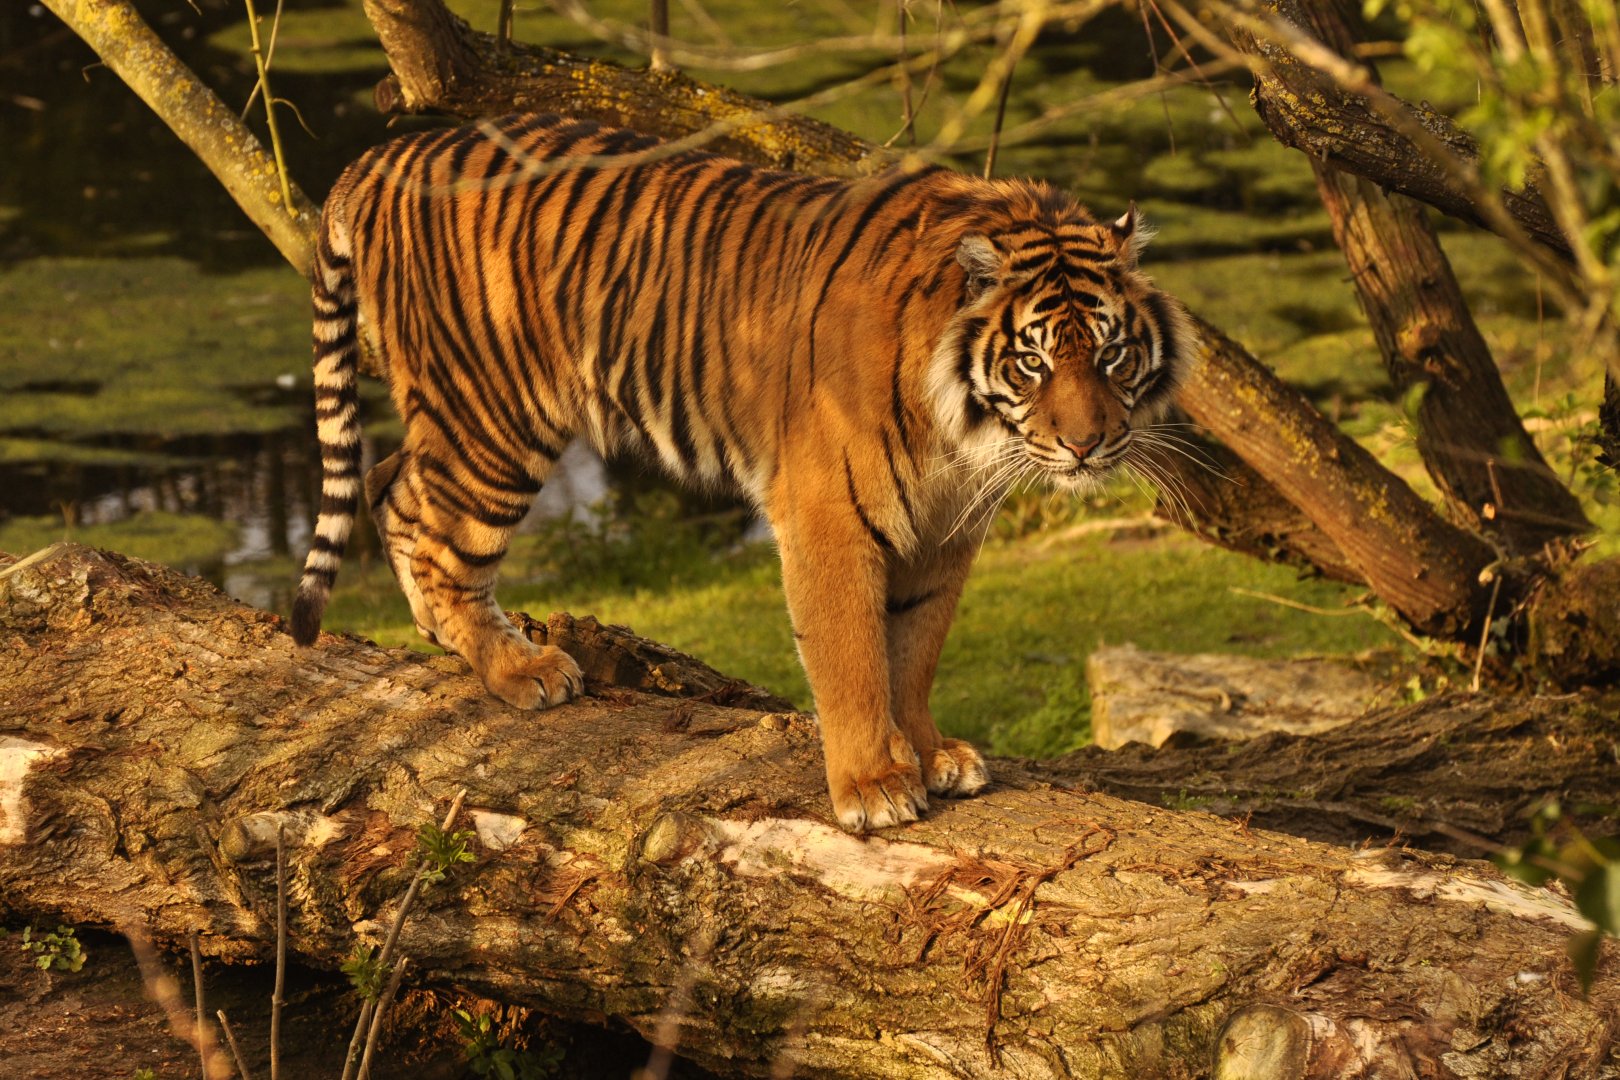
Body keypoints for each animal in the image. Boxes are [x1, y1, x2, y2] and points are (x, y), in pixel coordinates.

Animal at [290, 113, 1196, 832]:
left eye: (1111, 353)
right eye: (1033, 361)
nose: (1087, 445)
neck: (962, 429)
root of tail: (393, 150)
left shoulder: (948, 530)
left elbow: (915, 650)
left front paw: (932, 753)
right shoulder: (830, 514)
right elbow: (854, 656)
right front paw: (874, 786)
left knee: (392, 485)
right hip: (493, 417)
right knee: (434, 528)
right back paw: (520, 668)